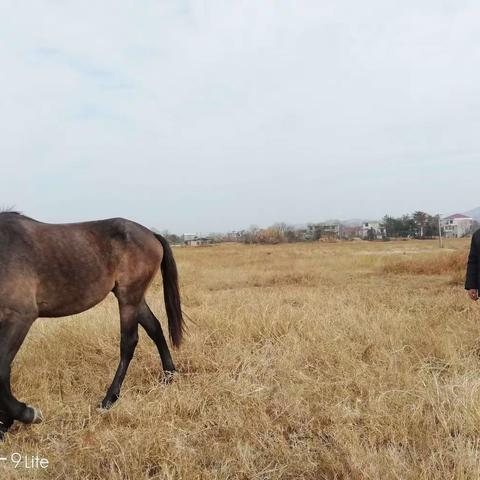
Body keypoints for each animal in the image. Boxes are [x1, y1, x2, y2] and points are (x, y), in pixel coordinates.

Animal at [0, 213, 184, 438]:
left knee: (129, 343)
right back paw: (169, 376)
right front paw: (6, 422)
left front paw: (24, 414)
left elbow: (1, 369)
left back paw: (108, 400)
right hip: (134, 298)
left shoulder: (20, 316)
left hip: (129, 298)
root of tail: (151, 234)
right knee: (155, 328)